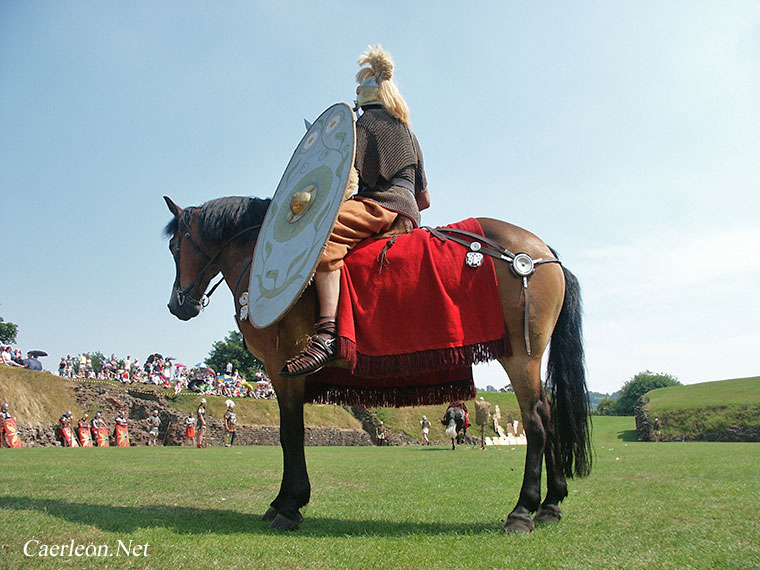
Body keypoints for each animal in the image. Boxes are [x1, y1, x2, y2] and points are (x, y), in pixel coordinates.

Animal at [163, 195, 592, 532]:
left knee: (534, 421)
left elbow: (291, 435)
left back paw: (522, 511)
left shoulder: (283, 369)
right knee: (548, 416)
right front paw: (281, 502)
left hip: (520, 355)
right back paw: (551, 504)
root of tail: (544, 254)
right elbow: (290, 435)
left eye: (174, 248)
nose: (176, 305)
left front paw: (290, 505)